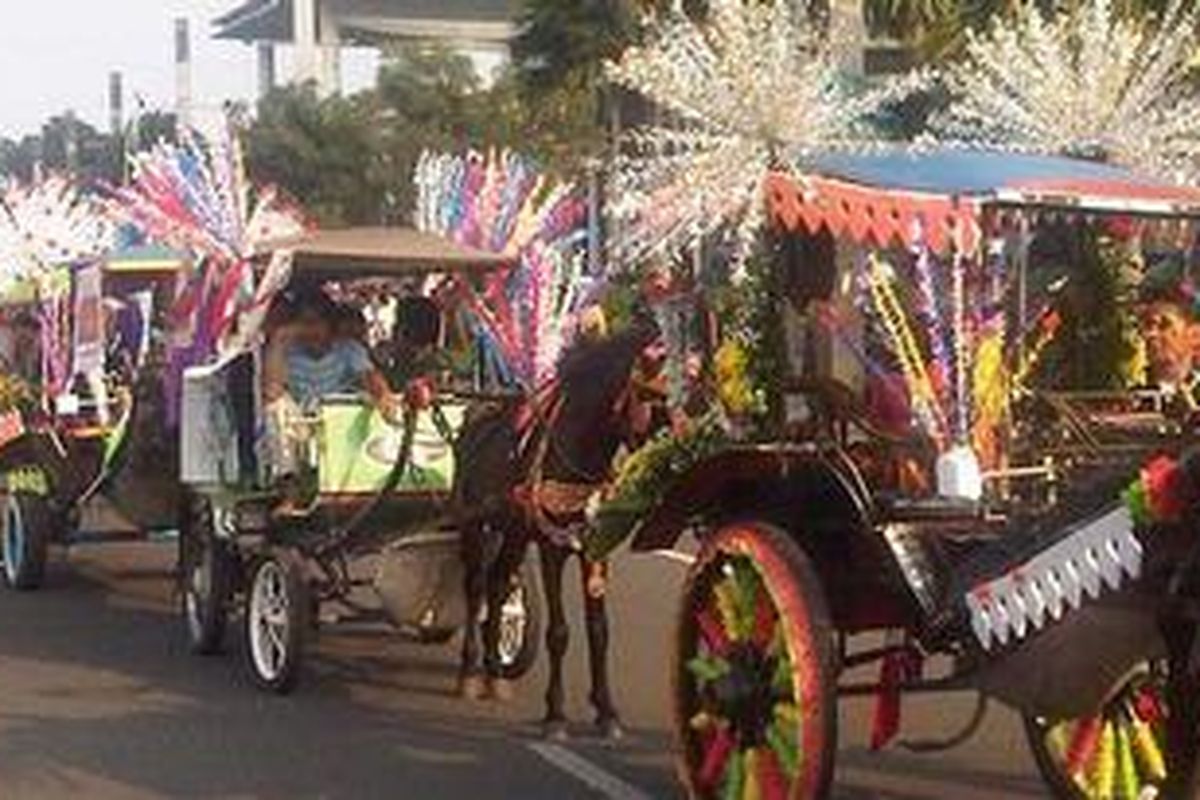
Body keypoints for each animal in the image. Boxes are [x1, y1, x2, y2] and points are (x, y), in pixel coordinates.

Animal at [451, 323, 662, 738]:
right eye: (650, 394)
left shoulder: (595, 550)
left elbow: (599, 630)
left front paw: (606, 710)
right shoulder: (552, 547)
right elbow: (559, 632)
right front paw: (556, 714)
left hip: (513, 531)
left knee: (498, 584)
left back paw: (494, 672)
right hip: (473, 524)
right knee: (475, 587)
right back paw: (470, 670)